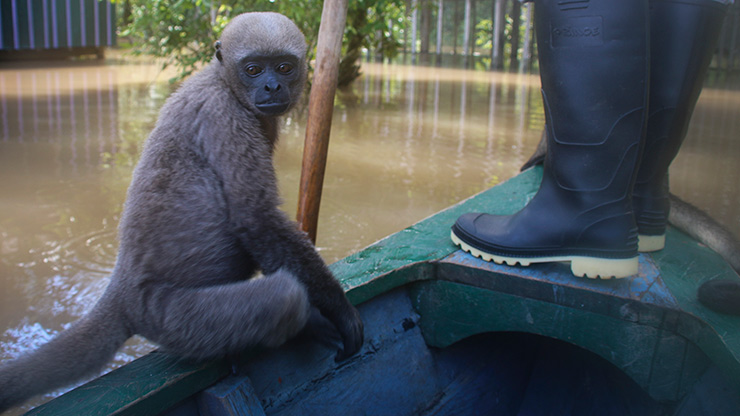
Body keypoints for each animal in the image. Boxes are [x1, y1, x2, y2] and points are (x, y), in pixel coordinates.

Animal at [0, 12, 363, 412]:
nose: (271, 87)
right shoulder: (224, 115)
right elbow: (256, 219)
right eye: (253, 69)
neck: (222, 80)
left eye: (284, 67)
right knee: (285, 297)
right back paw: (303, 326)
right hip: (169, 317)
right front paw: (340, 314)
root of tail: (122, 290)